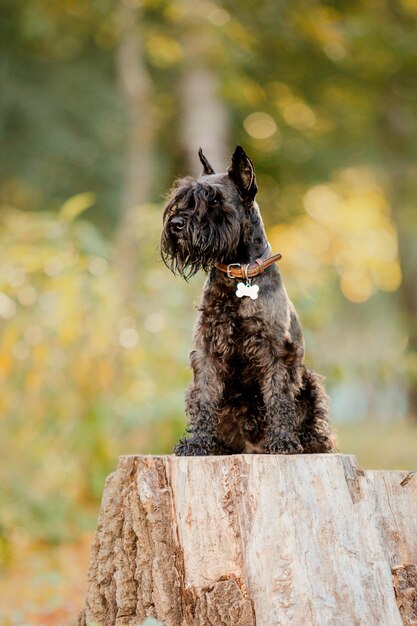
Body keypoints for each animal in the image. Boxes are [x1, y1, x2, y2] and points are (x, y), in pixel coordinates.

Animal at [160, 145, 334, 454]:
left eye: (215, 199)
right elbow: (204, 397)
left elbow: (278, 396)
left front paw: (283, 441)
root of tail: (251, 446)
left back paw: (309, 441)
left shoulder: (275, 350)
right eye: (182, 197)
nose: (177, 223)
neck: (238, 275)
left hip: (310, 379)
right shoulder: (207, 349)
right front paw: (198, 443)